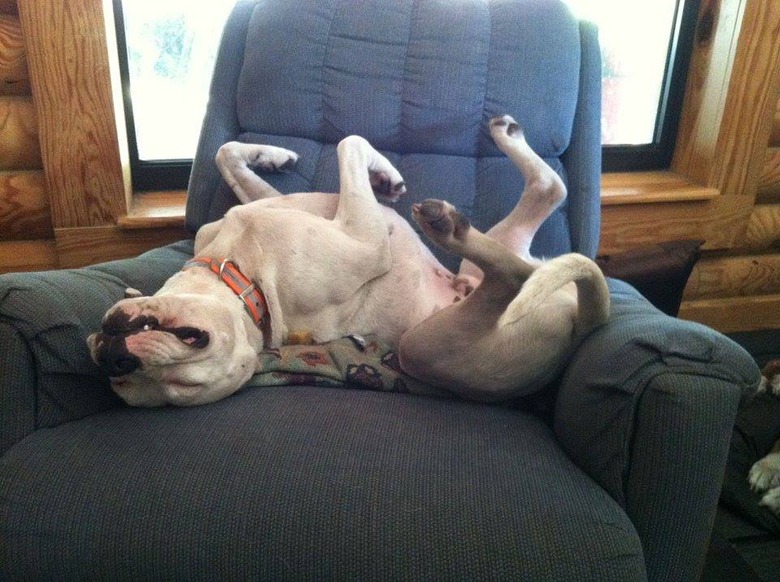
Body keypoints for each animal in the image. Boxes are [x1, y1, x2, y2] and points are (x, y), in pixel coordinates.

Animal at [88, 116, 612, 408]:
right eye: (183, 385)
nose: (113, 358)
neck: (242, 276)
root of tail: (587, 320)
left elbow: (229, 155)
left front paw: (275, 156)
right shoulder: (362, 237)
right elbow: (349, 142)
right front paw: (382, 174)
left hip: (485, 261)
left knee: (549, 190)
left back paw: (504, 138)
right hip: (431, 343)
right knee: (514, 275)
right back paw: (449, 226)